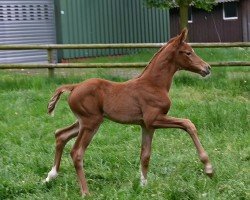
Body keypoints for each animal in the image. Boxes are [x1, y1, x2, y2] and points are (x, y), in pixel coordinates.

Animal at [45, 28, 213, 196]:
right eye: (188, 52)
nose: (207, 68)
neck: (154, 84)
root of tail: (74, 87)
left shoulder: (147, 126)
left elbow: (145, 155)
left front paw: (143, 186)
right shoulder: (154, 118)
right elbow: (188, 124)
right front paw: (208, 168)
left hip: (83, 122)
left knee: (61, 134)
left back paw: (50, 176)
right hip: (91, 122)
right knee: (77, 152)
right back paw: (85, 192)